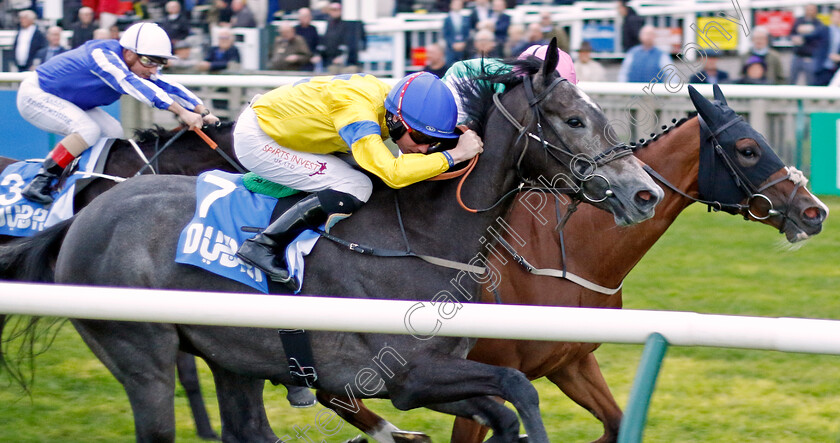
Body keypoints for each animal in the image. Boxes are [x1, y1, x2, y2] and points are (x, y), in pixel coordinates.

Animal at [3, 51, 668, 440]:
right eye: (574, 120)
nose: (644, 193)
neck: (418, 238)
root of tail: (83, 217)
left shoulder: (431, 379)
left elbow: (504, 405)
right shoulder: (404, 375)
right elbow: (520, 390)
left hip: (233, 356)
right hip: (142, 353)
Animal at [314, 84, 828, 443]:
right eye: (748, 149)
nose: (815, 210)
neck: (569, 252)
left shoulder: (572, 360)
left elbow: (616, 423)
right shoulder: (476, 372)